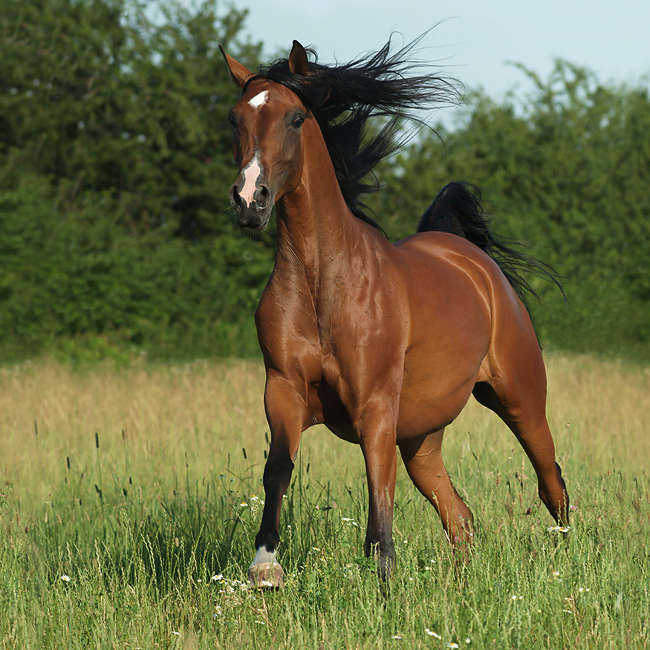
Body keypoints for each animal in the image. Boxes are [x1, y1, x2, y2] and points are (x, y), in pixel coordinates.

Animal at [219, 35, 568, 584]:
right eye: (236, 119)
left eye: (296, 117)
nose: (250, 200)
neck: (325, 284)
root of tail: (476, 263)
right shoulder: (283, 390)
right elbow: (278, 469)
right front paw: (264, 567)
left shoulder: (376, 405)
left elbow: (377, 494)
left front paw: (384, 581)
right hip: (422, 438)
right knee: (460, 516)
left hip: (520, 397)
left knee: (551, 482)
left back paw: (568, 566)